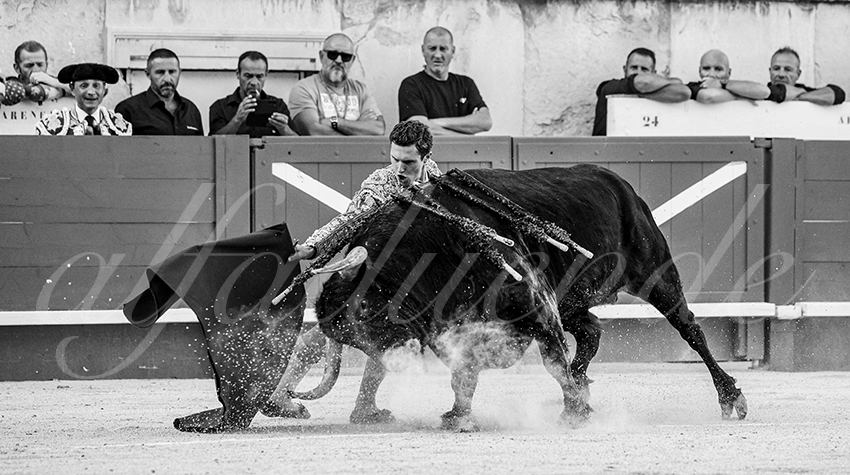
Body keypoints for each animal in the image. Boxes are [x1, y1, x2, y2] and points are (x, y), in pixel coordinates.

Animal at [288, 165, 744, 430]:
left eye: (368, 312)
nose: (394, 362)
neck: (434, 242)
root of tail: (619, 183)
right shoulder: (450, 324)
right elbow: (464, 370)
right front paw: (459, 415)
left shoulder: (537, 302)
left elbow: (551, 361)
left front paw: (575, 411)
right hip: (573, 297)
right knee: (591, 330)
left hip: (654, 271)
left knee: (690, 329)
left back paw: (730, 397)